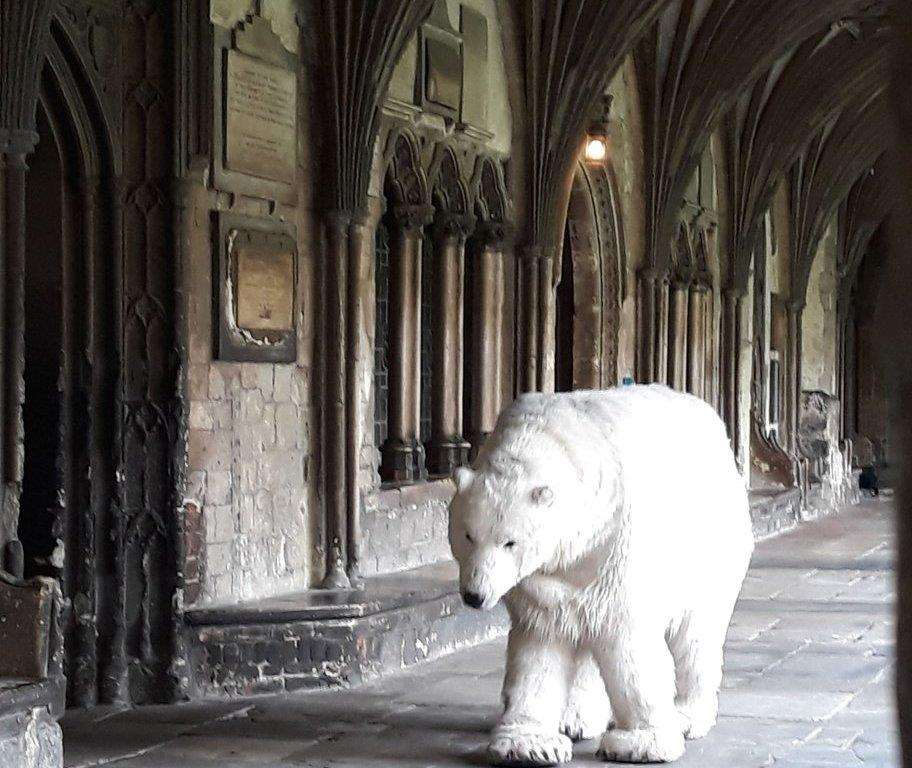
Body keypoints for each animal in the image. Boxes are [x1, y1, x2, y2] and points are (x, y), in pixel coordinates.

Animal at [448, 388, 756, 764]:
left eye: (510, 542)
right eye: (467, 536)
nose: (474, 595)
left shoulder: (617, 541)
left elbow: (627, 638)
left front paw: (641, 744)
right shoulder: (545, 577)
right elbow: (541, 638)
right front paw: (530, 744)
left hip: (709, 553)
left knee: (695, 634)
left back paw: (687, 716)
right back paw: (576, 719)